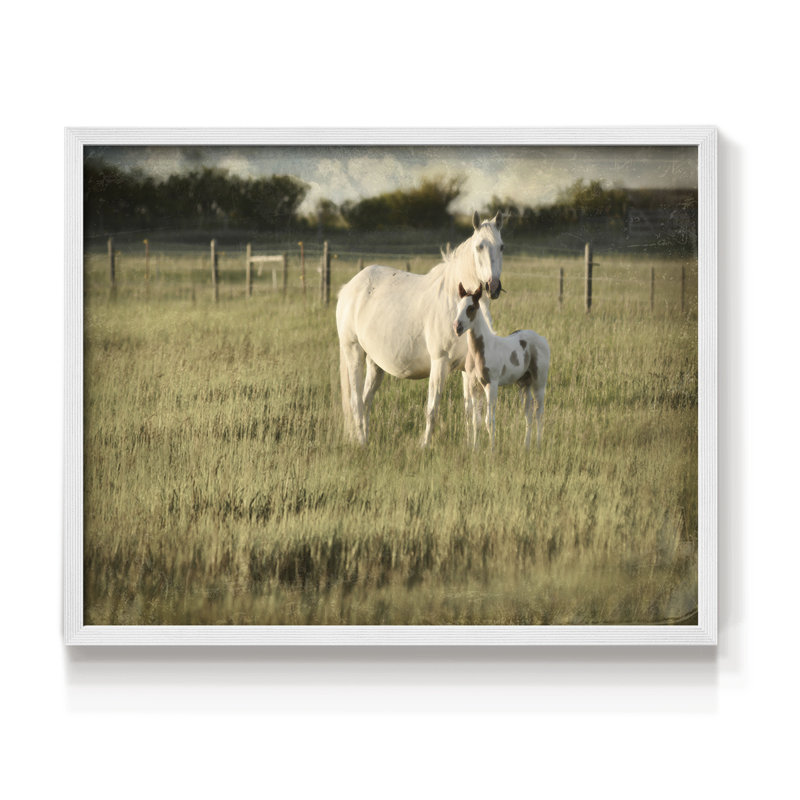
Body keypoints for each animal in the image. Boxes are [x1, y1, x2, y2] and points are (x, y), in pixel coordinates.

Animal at [336, 211, 504, 446]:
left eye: (501, 246)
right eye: (479, 246)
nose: (493, 287)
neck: (454, 302)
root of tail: (348, 288)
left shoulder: (467, 368)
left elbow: (471, 411)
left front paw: (471, 445)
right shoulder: (439, 362)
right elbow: (432, 408)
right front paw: (425, 445)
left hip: (375, 363)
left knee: (366, 399)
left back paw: (366, 439)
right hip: (353, 352)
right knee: (355, 401)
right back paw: (361, 441)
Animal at [454, 282, 550, 451]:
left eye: (471, 308)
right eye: (458, 306)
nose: (457, 327)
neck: (480, 351)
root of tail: (542, 339)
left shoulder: (491, 385)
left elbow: (489, 420)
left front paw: (492, 450)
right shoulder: (474, 386)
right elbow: (476, 421)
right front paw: (475, 449)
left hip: (539, 382)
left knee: (539, 412)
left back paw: (538, 445)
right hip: (524, 384)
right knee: (528, 412)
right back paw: (526, 446)